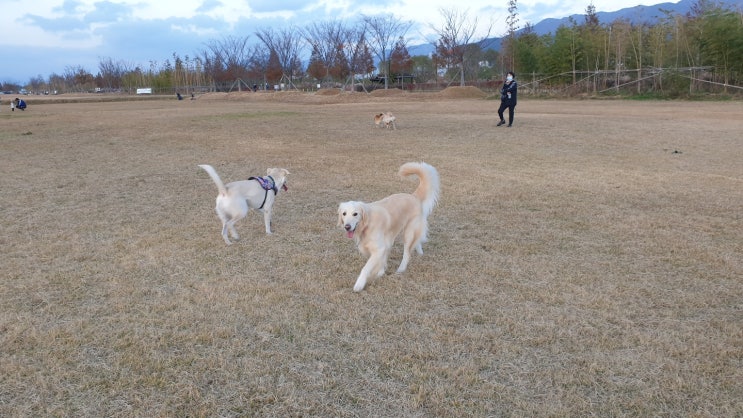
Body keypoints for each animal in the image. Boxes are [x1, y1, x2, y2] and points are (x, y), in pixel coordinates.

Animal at [338, 162, 438, 292]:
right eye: (344, 214)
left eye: (355, 214)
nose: (347, 227)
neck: (367, 225)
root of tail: (413, 196)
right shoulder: (375, 246)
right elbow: (380, 261)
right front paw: (380, 272)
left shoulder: (379, 248)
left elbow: (366, 267)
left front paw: (359, 284)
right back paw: (420, 251)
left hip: (408, 232)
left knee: (407, 253)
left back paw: (401, 269)